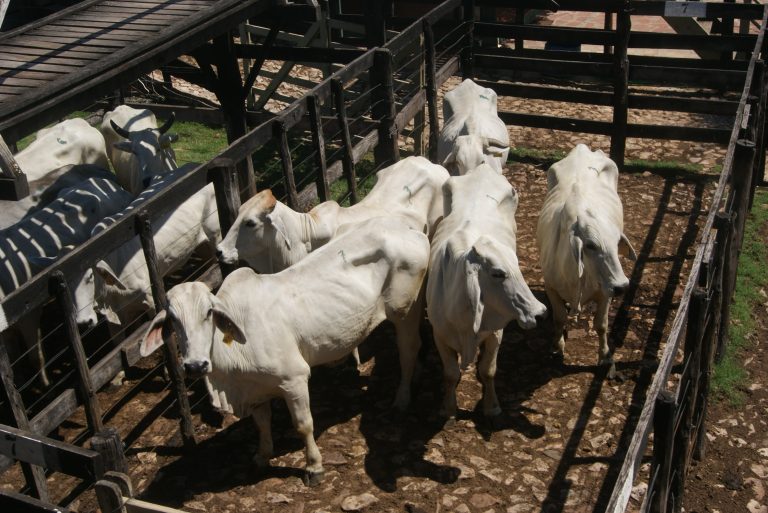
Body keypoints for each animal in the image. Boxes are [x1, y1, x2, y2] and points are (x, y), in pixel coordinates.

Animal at [141, 217, 428, 484]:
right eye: (172, 320)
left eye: (209, 312)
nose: (194, 365)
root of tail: (407, 229)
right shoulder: (255, 390)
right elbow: (262, 425)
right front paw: (262, 457)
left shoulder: (294, 379)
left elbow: (303, 425)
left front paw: (313, 467)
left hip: (405, 310)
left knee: (408, 349)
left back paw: (402, 399)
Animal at [426, 163, 544, 420]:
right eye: (498, 273)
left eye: (517, 267)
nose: (540, 312)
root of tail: (483, 168)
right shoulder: (439, 335)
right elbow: (451, 374)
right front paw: (448, 408)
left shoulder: (495, 332)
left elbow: (488, 370)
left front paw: (492, 406)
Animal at [536, 144, 636, 376]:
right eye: (590, 245)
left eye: (617, 243)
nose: (621, 286)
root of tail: (582, 149)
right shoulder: (550, 287)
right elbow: (559, 318)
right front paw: (557, 346)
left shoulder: (605, 293)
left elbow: (601, 325)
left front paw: (605, 357)